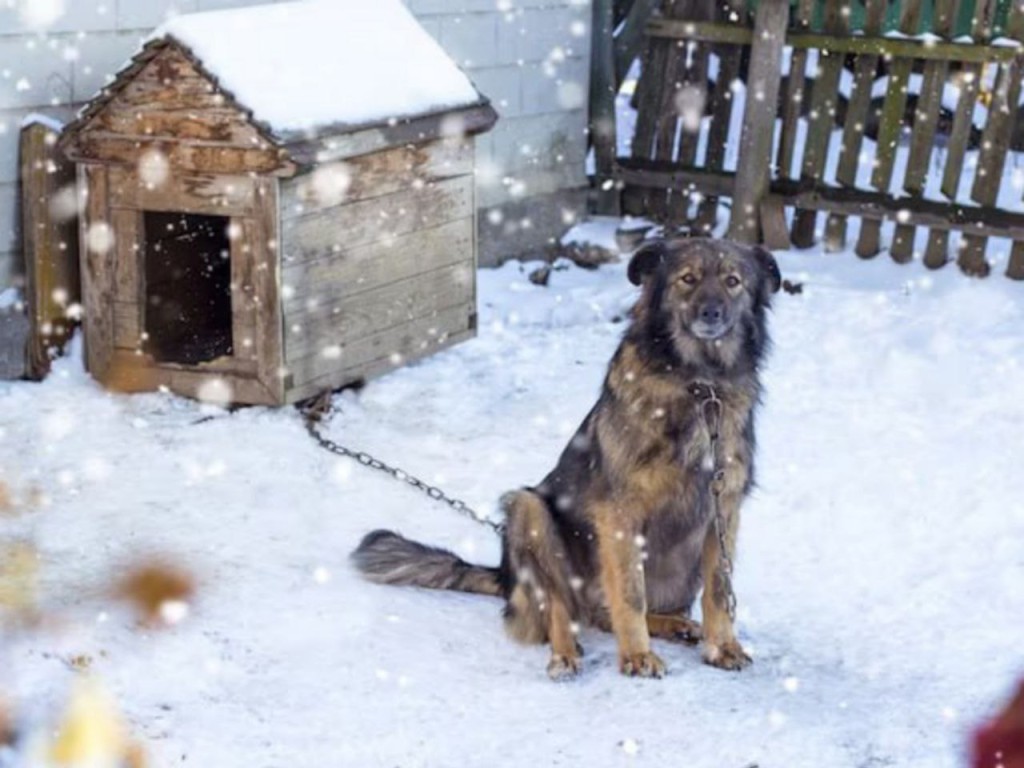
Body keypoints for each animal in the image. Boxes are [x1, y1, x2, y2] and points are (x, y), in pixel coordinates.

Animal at [354, 237, 782, 684]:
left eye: (733, 281)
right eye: (688, 279)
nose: (711, 313)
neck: (700, 384)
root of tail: (506, 577)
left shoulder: (724, 508)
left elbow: (719, 590)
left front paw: (722, 647)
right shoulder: (620, 514)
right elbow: (630, 593)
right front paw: (637, 655)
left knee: (606, 613)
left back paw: (676, 625)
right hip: (527, 510)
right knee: (561, 607)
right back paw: (565, 654)